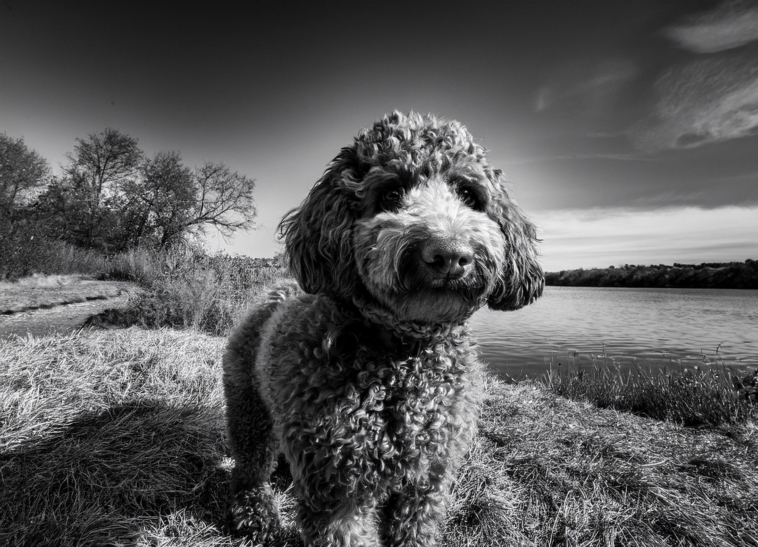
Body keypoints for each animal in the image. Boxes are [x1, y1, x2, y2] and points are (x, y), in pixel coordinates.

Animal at [223, 109, 544, 544]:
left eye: (468, 194)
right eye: (392, 194)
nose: (449, 255)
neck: (404, 357)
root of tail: (277, 288)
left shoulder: (427, 482)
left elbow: (416, 526)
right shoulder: (338, 491)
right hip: (248, 406)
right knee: (250, 468)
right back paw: (257, 515)